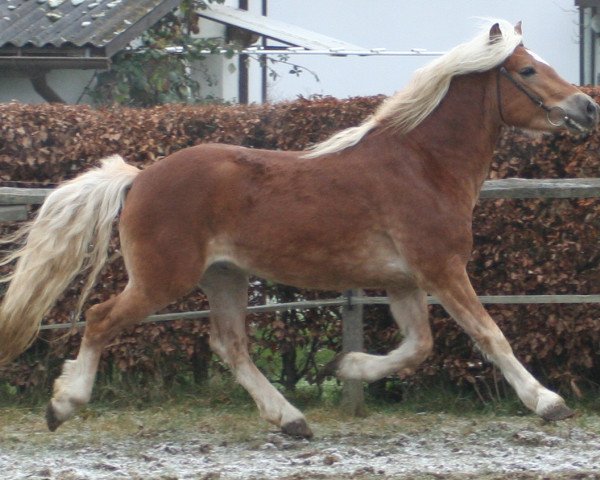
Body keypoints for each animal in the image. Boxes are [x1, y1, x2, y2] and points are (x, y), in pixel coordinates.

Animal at [0, 20, 596, 436]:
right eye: (527, 71)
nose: (586, 108)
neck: (423, 164)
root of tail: (138, 177)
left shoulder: (404, 281)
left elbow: (418, 347)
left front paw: (346, 366)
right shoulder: (442, 269)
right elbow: (489, 335)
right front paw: (549, 403)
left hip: (225, 277)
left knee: (230, 345)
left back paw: (291, 419)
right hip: (162, 280)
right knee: (101, 320)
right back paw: (62, 405)